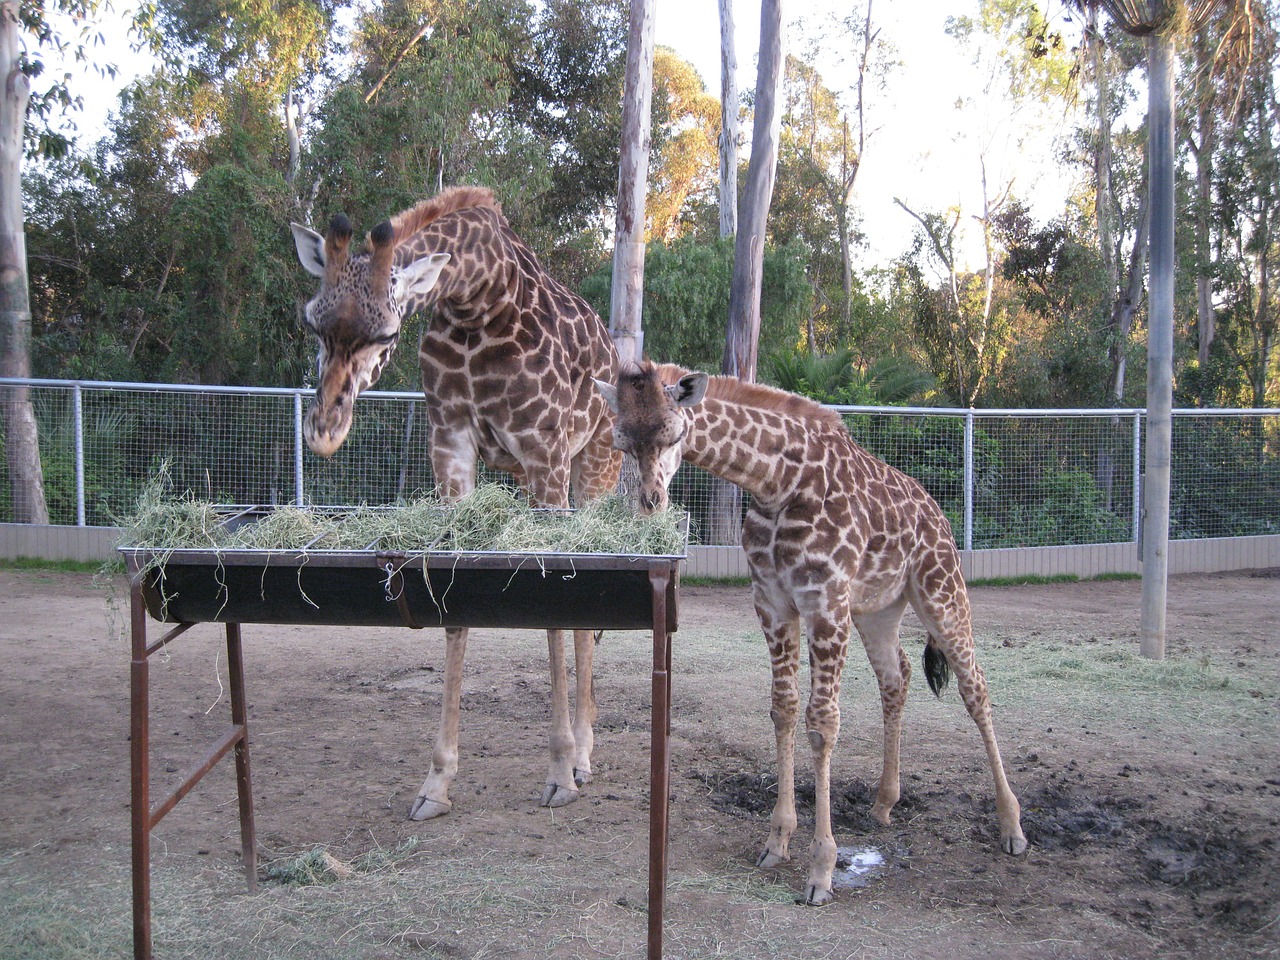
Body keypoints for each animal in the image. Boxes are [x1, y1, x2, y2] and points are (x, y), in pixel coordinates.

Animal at [294, 185, 624, 819]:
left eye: (385, 334)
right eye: (313, 323)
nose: (323, 431)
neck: (478, 300)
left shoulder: (545, 449)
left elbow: (554, 612)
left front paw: (559, 772)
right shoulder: (449, 440)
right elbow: (453, 609)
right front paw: (436, 782)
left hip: (592, 466)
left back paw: (585, 754)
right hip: (529, 477)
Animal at [591, 363, 1029, 911]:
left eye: (673, 432)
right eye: (618, 440)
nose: (649, 503)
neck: (776, 482)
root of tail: (939, 515)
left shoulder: (824, 603)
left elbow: (822, 724)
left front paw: (821, 869)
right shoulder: (773, 602)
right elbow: (783, 709)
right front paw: (777, 840)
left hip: (940, 591)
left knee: (976, 687)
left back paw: (1012, 827)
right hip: (879, 609)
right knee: (897, 676)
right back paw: (883, 803)